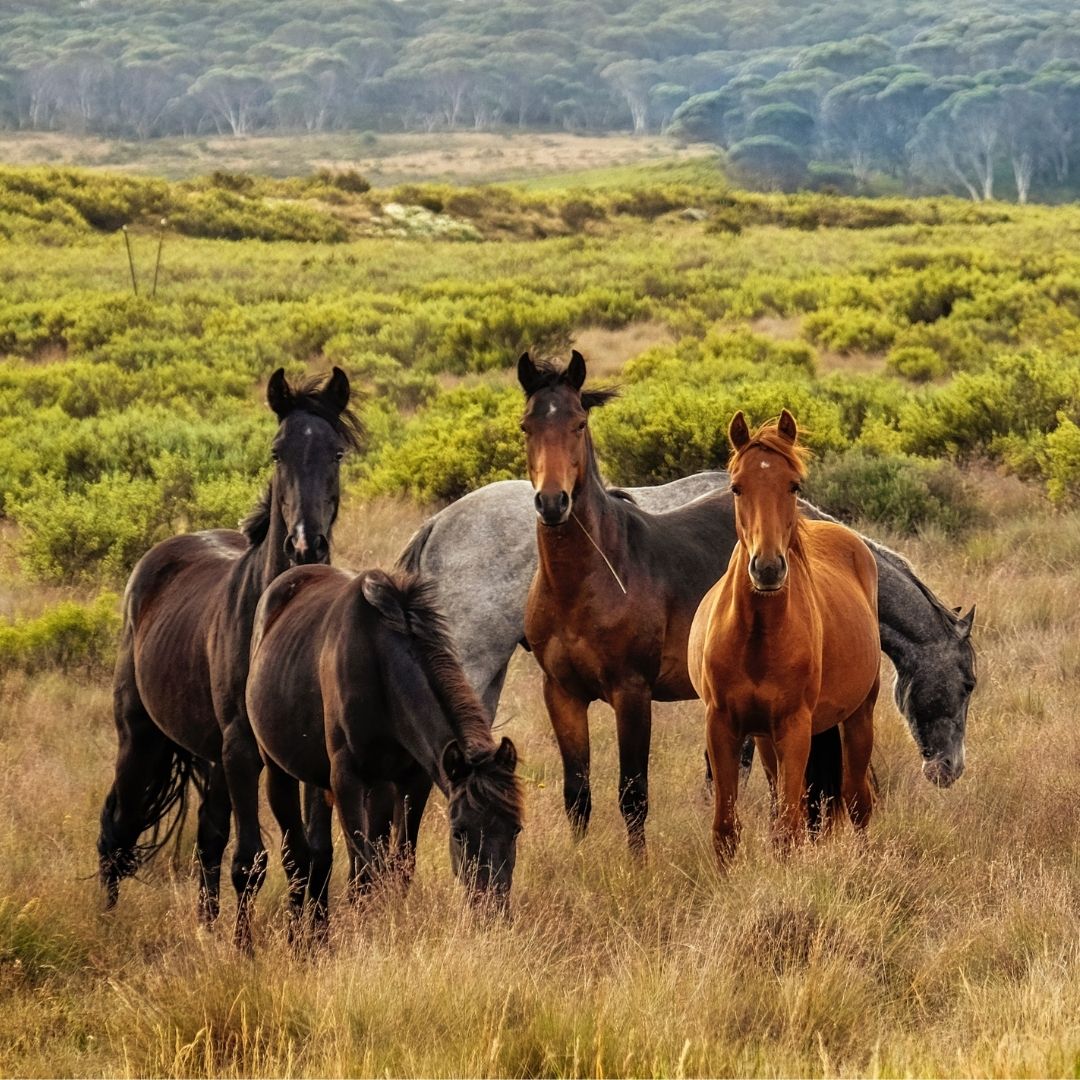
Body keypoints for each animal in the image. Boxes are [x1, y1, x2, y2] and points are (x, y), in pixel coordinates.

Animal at [97, 367, 362, 951]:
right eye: (277, 452)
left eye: (335, 452)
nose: (306, 545)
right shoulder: (243, 750)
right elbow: (254, 860)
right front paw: (246, 951)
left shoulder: (305, 755)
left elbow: (314, 855)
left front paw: (312, 941)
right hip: (141, 740)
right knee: (116, 827)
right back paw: (106, 920)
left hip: (211, 758)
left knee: (206, 839)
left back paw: (205, 925)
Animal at [246, 565, 523, 923]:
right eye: (458, 832)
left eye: (515, 830)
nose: (493, 911)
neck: (380, 667)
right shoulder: (346, 779)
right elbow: (362, 874)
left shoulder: (413, 781)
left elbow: (399, 865)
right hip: (279, 772)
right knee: (296, 858)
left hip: (354, 784)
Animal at [689, 410, 880, 861]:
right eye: (736, 486)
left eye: (793, 485)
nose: (768, 568)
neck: (757, 637)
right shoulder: (723, 726)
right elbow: (726, 829)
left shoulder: (794, 728)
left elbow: (789, 829)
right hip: (764, 739)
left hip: (858, 716)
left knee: (858, 801)